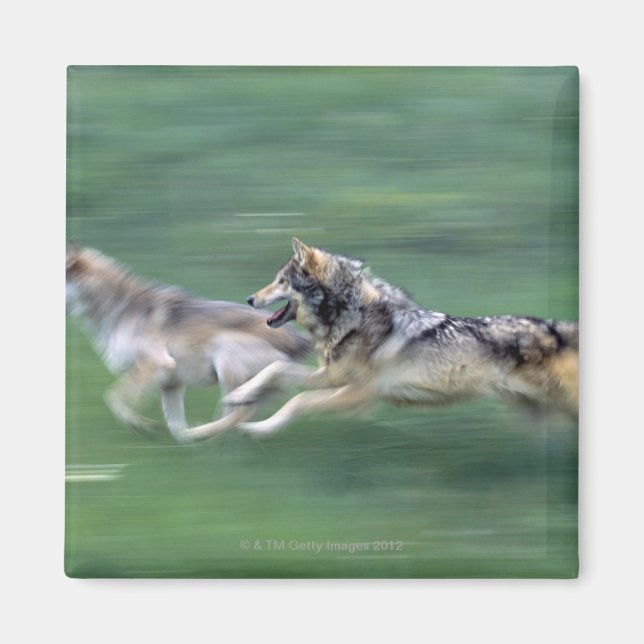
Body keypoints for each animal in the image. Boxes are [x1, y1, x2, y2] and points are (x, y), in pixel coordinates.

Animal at [66, 241, 310, 442]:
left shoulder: (155, 364)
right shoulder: (170, 384)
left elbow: (113, 398)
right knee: (238, 414)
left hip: (227, 358)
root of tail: (301, 339)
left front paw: (140, 425)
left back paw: (207, 435)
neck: (119, 308)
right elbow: (175, 427)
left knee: (240, 413)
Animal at [224, 238, 579, 435]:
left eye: (281, 282)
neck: (351, 318)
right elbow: (276, 369)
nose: (249, 299)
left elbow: (297, 401)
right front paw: (238, 396)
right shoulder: (332, 377)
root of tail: (559, 329)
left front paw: (260, 428)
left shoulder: (359, 395)